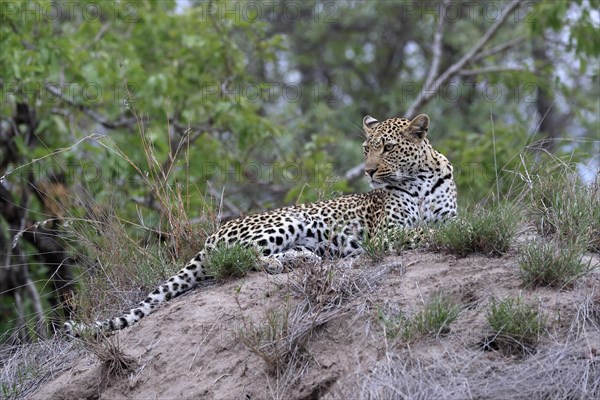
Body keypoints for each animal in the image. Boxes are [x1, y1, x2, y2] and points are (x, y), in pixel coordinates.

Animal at [64, 114, 454, 336]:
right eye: (365, 150)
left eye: (387, 148)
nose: (370, 171)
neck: (419, 178)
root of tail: (210, 236)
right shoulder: (385, 232)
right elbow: (422, 231)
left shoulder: (443, 214)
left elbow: (443, 225)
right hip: (286, 220)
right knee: (239, 258)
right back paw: (283, 261)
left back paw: (303, 259)